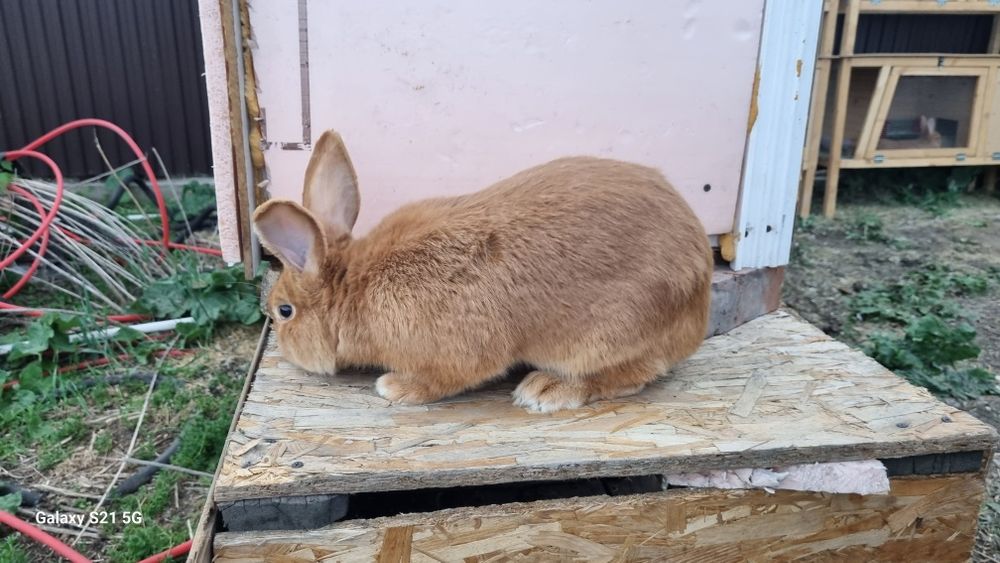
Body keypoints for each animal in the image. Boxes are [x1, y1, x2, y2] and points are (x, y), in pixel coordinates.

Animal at [252, 130, 713, 412]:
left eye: (284, 312)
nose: (285, 351)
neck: (357, 286)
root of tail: (700, 292)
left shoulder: (455, 356)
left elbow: (445, 379)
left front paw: (394, 387)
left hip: (605, 337)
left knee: (634, 373)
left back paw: (546, 390)